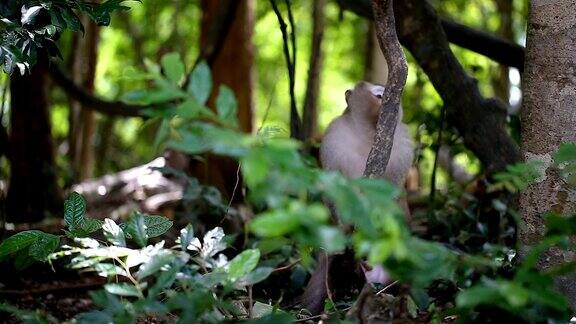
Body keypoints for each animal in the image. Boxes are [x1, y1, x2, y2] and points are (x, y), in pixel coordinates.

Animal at [302, 81, 414, 314]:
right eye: (378, 95)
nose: (387, 101)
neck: (369, 135)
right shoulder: (334, 138)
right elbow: (334, 188)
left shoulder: (403, 146)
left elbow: (394, 194)